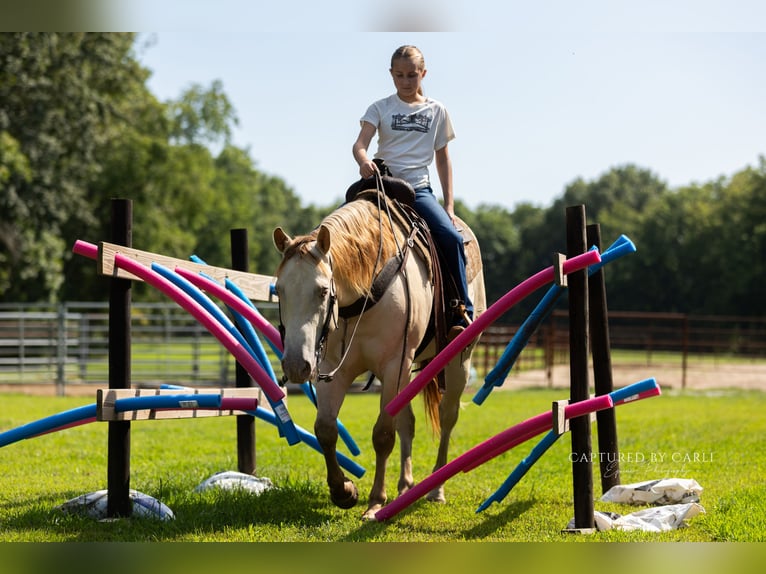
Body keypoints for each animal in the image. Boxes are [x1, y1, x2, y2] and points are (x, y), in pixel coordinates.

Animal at [272, 192, 486, 520]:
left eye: (322, 291)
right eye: (280, 290)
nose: (296, 365)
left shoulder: (394, 366)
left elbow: (383, 435)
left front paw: (375, 502)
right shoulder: (334, 370)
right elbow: (325, 430)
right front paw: (344, 491)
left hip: (457, 362)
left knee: (447, 417)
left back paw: (436, 489)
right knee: (407, 422)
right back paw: (406, 485)